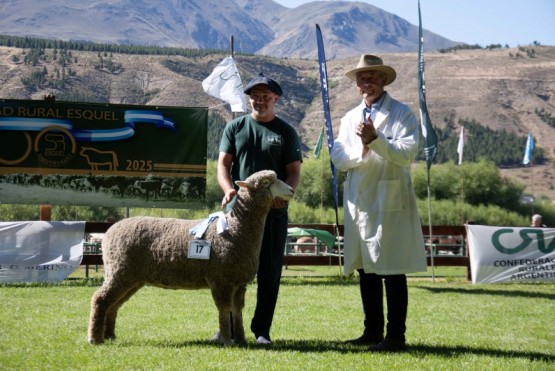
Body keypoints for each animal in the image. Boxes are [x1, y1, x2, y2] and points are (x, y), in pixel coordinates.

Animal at [87, 170, 296, 348]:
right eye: (267, 182)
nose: (292, 190)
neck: (237, 230)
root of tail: (109, 231)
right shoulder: (221, 279)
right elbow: (224, 309)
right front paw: (227, 340)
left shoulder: (239, 282)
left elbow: (237, 310)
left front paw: (241, 339)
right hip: (120, 269)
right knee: (100, 299)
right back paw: (95, 338)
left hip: (130, 276)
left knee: (114, 304)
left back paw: (110, 336)